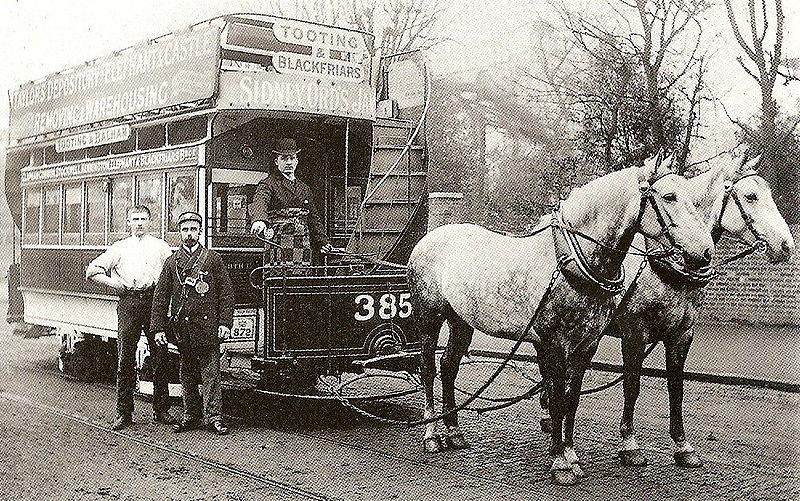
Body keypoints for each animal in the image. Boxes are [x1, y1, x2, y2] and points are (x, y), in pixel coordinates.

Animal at [406, 153, 712, 484]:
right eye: (669, 197)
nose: (705, 252)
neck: (574, 260)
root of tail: (429, 237)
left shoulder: (587, 345)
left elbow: (572, 399)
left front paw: (571, 454)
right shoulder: (557, 343)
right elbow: (557, 398)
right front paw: (560, 462)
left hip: (461, 321)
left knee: (448, 367)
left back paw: (454, 431)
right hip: (428, 319)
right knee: (428, 370)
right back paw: (431, 434)